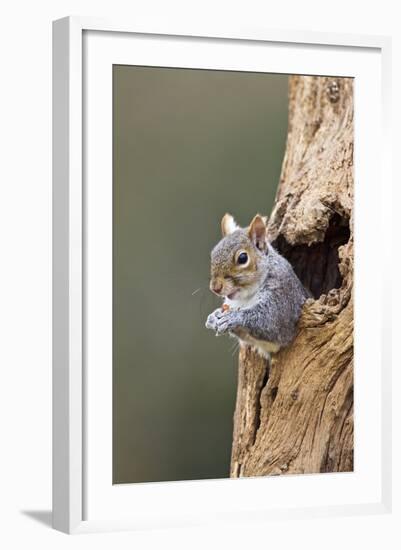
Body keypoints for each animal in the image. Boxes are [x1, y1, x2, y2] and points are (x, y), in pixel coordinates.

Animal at [205, 211, 308, 358]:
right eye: (213, 254)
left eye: (243, 258)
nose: (215, 288)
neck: (246, 297)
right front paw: (213, 317)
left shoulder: (283, 297)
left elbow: (268, 321)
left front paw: (233, 317)